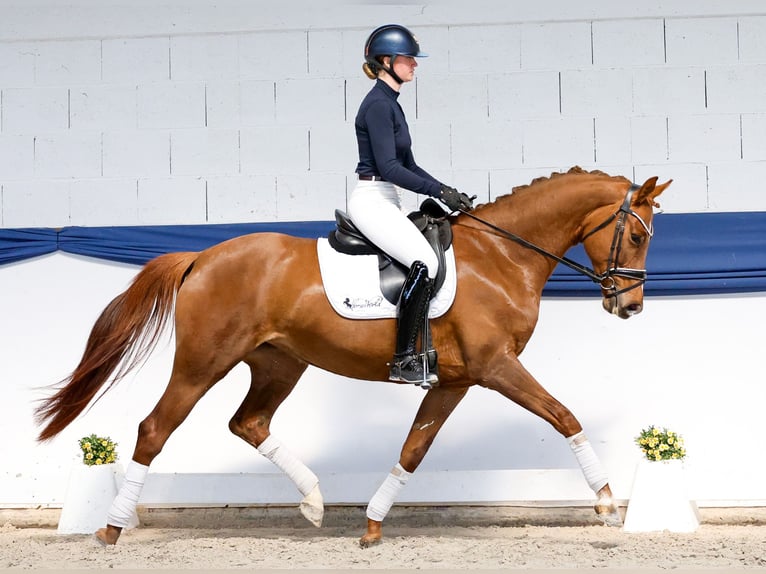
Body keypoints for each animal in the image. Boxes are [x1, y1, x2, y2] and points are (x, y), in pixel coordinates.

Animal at [35, 166, 670, 547]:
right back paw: (111, 530)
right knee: (155, 429)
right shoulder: (497, 368)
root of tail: (201, 256)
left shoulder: (455, 381)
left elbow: (413, 450)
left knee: (249, 422)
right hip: (202, 362)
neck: (502, 255)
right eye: (638, 236)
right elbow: (564, 416)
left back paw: (314, 502)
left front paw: (371, 525)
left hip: (279, 362)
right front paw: (607, 504)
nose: (630, 305)